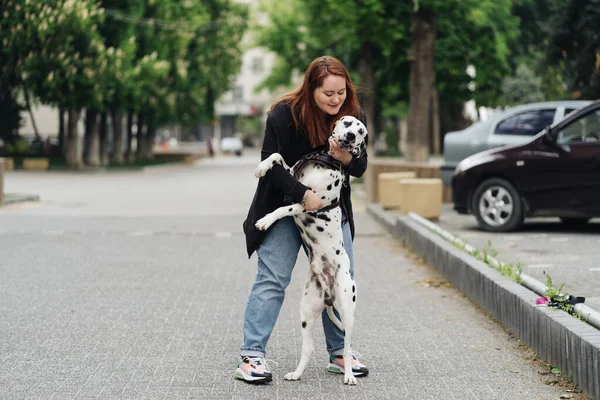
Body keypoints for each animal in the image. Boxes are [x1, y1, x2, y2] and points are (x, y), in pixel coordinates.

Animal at [252, 115, 366, 384]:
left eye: (361, 132)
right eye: (348, 123)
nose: (350, 137)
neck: (327, 160)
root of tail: (328, 295)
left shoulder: (308, 203)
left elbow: (282, 209)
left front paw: (265, 220)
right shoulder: (293, 177)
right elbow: (276, 155)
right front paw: (262, 167)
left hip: (347, 310)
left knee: (347, 346)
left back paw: (349, 375)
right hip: (306, 312)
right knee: (309, 347)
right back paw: (296, 373)